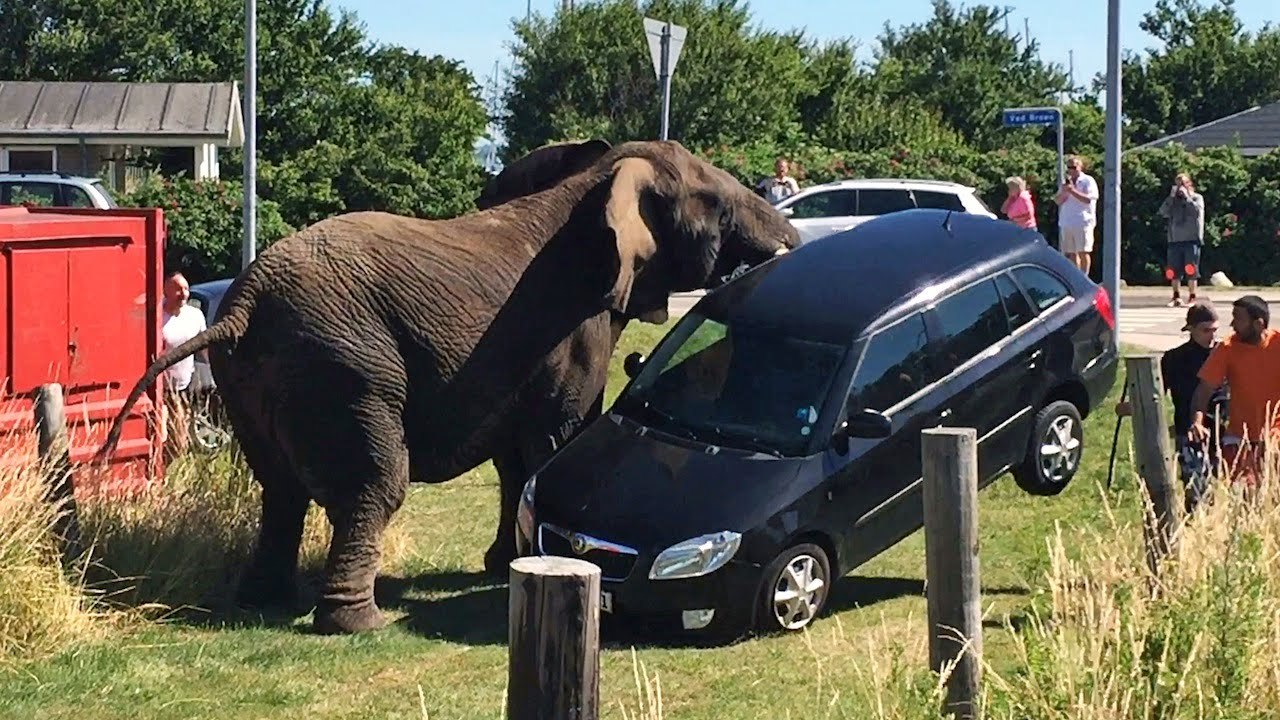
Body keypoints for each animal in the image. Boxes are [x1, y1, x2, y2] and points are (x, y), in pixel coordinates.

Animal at [97, 137, 798, 630]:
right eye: (721, 203)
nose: (792, 239)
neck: (594, 182)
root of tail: (240, 306)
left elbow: (517, 460)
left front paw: (501, 565)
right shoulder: (574, 327)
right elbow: (557, 437)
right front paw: (515, 570)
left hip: (255, 381)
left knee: (281, 491)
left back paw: (263, 603)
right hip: (343, 368)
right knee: (375, 484)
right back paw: (359, 624)